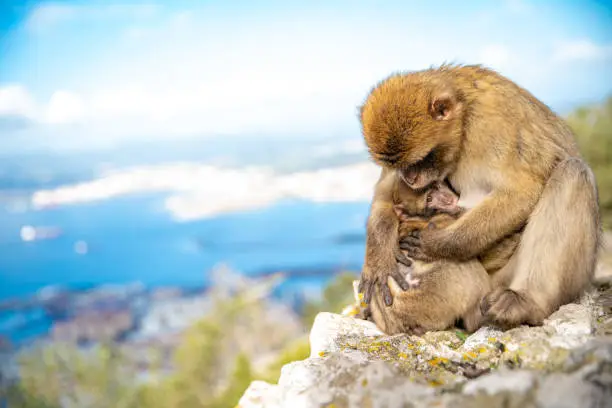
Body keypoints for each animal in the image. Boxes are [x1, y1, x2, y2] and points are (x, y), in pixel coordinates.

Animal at [356, 64, 600, 332]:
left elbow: (523, 190)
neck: (464, 116)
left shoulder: (492, 122)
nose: (409, 177)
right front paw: (379, 263)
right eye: (399, 164)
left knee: (572, 173)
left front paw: (435, 244)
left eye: (421, 159)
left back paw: (525, 302)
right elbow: (384, 195)